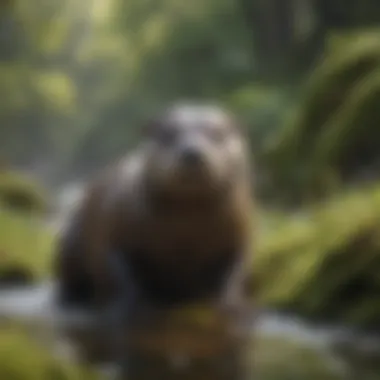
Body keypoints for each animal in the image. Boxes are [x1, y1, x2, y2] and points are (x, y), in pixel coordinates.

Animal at [54, 103, 255, 318]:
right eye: (168, 134)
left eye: (217, 134)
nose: (192, 152)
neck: (185, 234)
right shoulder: (114, 231)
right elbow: (118, 273)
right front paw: (129, 307)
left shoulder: (239, 237)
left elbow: (235, 274)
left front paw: (233, 306)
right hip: (70, 242)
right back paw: (70, 300)